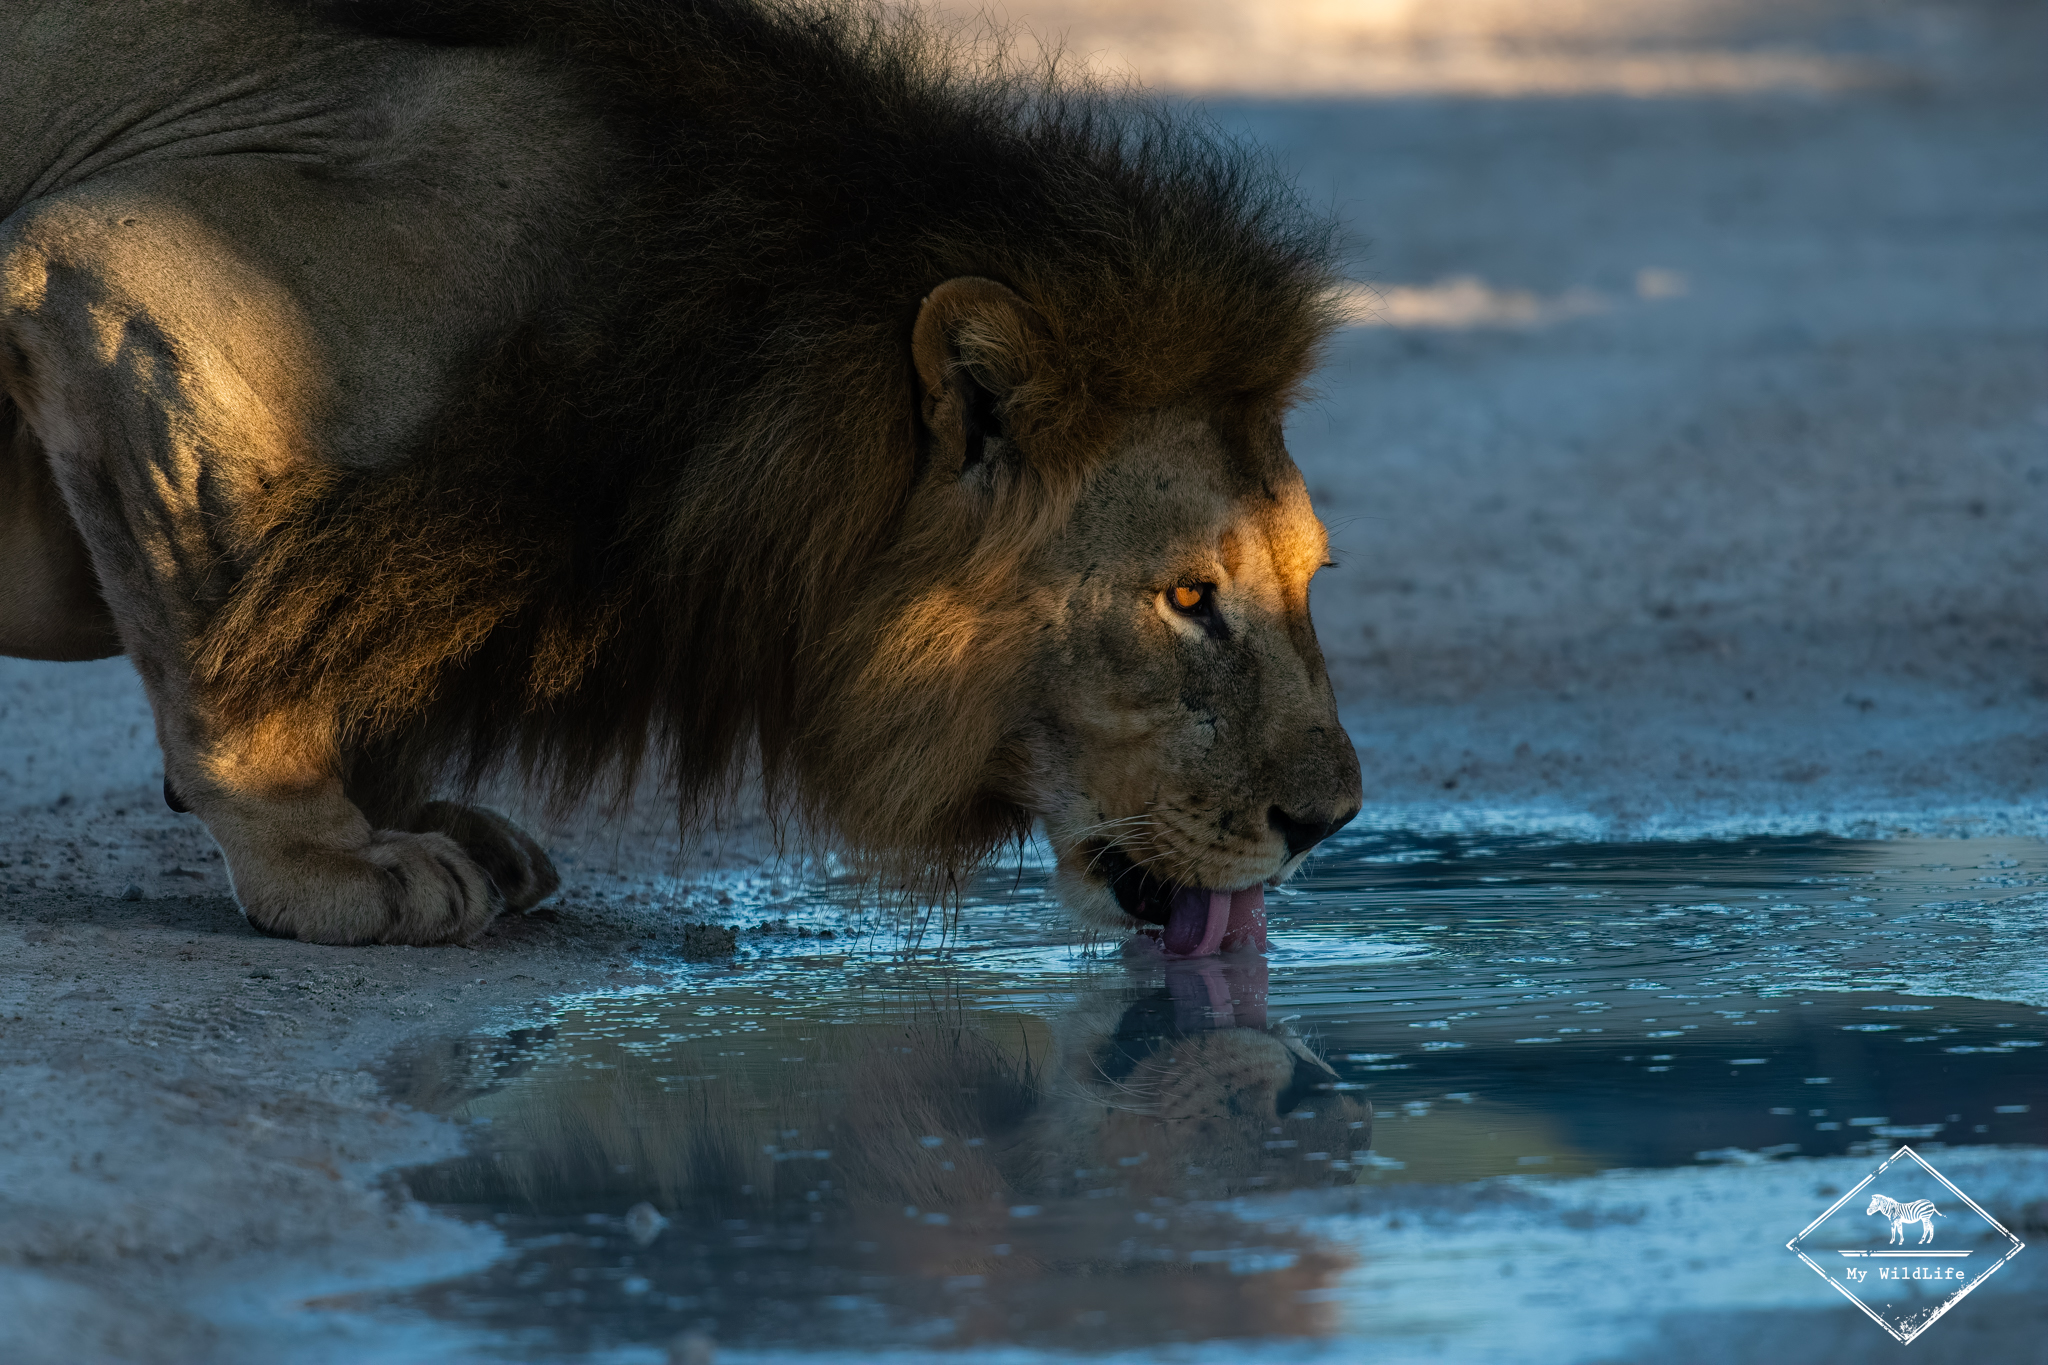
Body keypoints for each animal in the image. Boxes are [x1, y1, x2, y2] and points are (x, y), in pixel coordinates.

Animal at [0, 0, 1362, 946]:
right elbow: (230, 661)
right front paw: (334, 863)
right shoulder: (129, 281)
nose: (1330, 824)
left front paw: (408, 812)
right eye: (1185, 600)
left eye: (1311, 581)